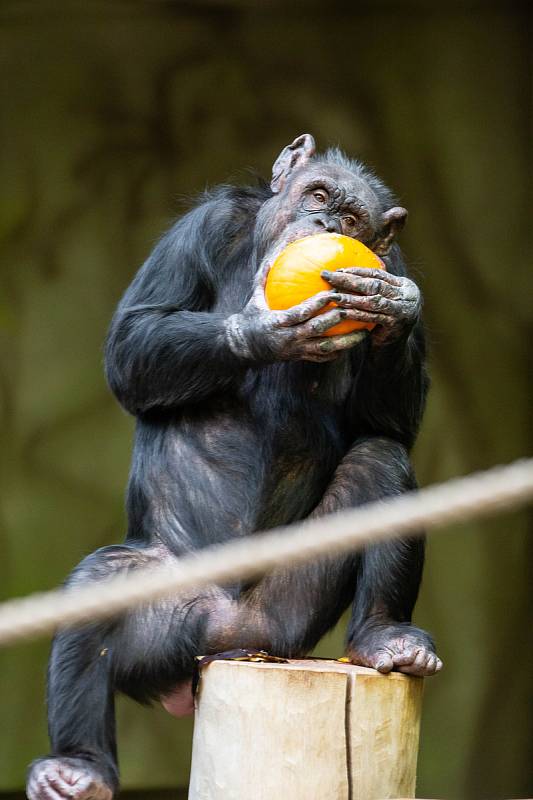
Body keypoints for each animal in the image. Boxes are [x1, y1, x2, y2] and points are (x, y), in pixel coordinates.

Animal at [27, 136, 438, 800]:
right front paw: (261, 330)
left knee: (381, 460)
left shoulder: (394, 261)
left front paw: (394, 308)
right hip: (160, 619)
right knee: (97, 592)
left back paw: (388, 638)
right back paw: (76, 767)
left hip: (290, 613)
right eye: (317, 194)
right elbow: (133, 340)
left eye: (352, 219)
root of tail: (222, 647)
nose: (323, 225)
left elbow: (392, 426)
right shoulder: (202, 228)